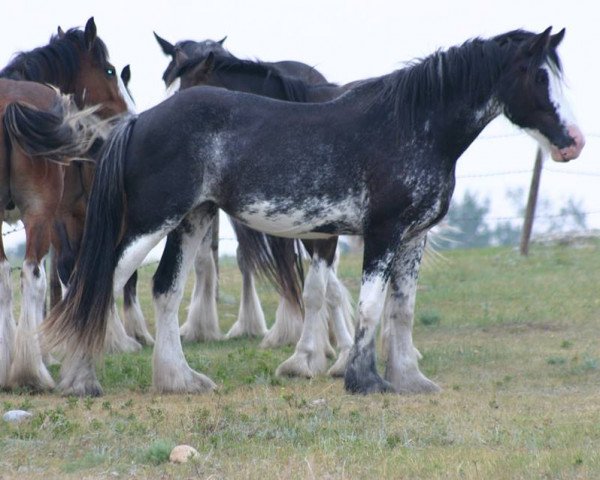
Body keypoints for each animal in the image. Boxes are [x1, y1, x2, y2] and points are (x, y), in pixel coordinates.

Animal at [48, 27, 584, 398]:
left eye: (558, 76)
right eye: (539, 76)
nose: (574, 142)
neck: (412, 124)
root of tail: (139, 122)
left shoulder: (412, 237)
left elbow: (401, 309)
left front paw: (409, 378)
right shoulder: (381, 234)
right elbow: (368, 305)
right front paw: (363, 379)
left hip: (193, 219)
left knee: (164, 290)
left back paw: (179, 379)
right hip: (151, 222)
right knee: (100, 282)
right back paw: (80, 379)